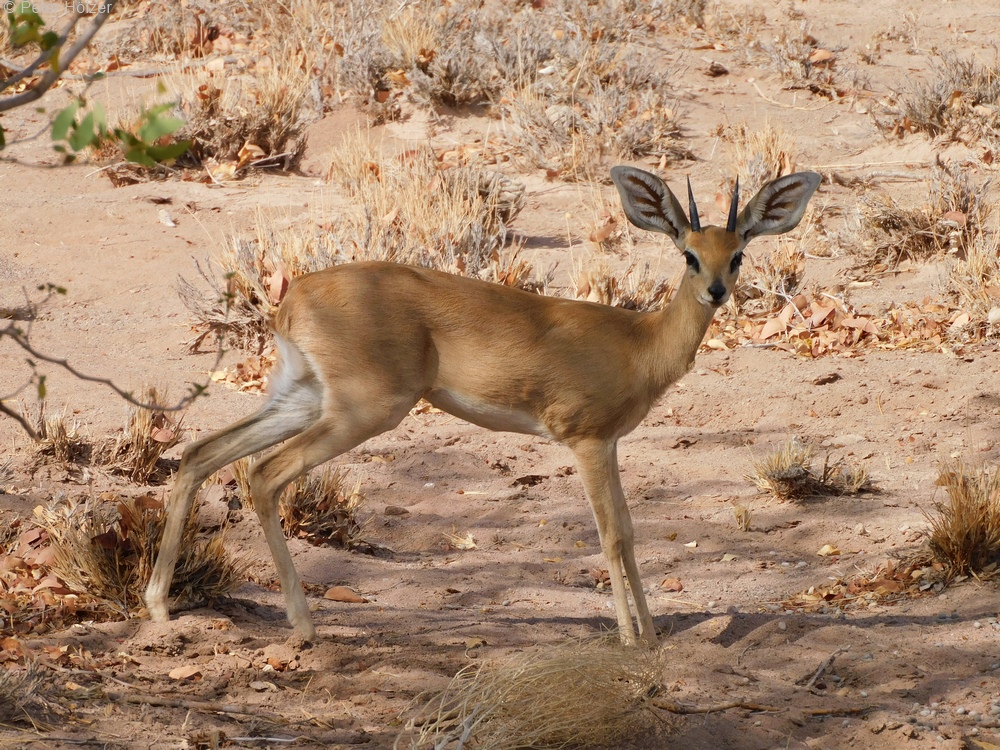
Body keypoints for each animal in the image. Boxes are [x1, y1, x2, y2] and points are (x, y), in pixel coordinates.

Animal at [145, 166, 821, 646]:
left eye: (737, 253)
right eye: (688, 253)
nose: (716, 291)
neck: (638, 342)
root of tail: (294, 295)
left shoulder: (610, 444)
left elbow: (629, 533)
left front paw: (654, 635)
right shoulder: (586, 441)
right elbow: (610, 536)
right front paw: (633, 640)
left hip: (303, 398)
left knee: (201, 453)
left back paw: (160, 608)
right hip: (362, 412)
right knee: (262, 474)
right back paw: (304, 627)